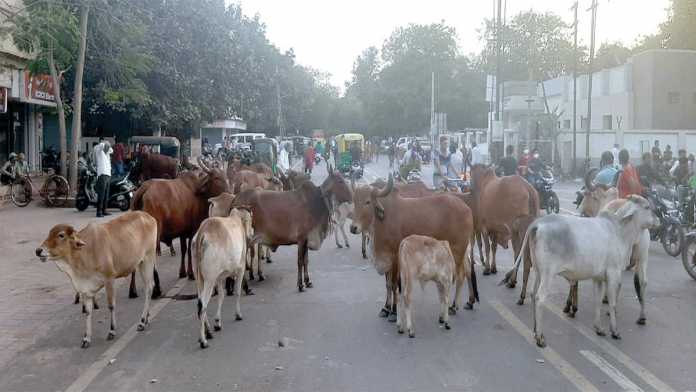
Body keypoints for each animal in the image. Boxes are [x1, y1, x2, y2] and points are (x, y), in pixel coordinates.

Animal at [35, 213, 158, 348]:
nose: (38, 251)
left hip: (148, 259)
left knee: (149, 288)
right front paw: (86, 338)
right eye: (49, 233)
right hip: (141, 263)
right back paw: (146, 318)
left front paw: (111, 331)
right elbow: (88, 311)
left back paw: (142, 321)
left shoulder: (109, 279)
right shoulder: (86, 290)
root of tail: (147, 215)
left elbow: (111, 305)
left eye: (61, 235)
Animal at [129, 156, 227, 298]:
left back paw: (133, 290)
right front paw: (191, 273)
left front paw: (183, 272)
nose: (230, 193)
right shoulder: (193, 230)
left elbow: (184, 249)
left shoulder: (182, 231)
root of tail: (144, 188)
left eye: (226, 176)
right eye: (217, 178)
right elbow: (189, 251)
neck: (199, 194)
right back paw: (157, 288)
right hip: (155, 233)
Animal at [213, 169, 354, 290]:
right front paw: (300, 284)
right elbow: (300, 261)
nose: (352, 196)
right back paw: (244, 286)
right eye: (340, 181)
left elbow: (306, 261)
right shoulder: (301, 239)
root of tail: (235, 198)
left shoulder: (307, 239)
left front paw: (308, 281)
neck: (316, 202)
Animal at [348, 175, 478, 322]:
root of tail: (467, 208)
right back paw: (467, 302)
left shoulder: (395, 258)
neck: (382, 220)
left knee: (460, 276)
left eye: (367, 202)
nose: (353, 228)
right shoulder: (386, 259)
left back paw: (453, 307)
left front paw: (393, 312)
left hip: (457, 251)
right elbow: (387, 285)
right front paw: (385, 308)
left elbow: (394, 284)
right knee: (467, 271)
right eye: (354, 201)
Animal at [508, 195, 656, 346]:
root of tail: (538, 223)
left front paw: (598, 328)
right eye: (647, 207)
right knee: (540, 297)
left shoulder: (598, 278)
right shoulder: (613, 274)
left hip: (538, 271)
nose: (657, 220)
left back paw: (534, 329)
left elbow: (598, 301)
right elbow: (613, 304)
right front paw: (614, 331)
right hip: (548, 274)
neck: (620, 231)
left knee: (532, 293)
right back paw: (540, 337)